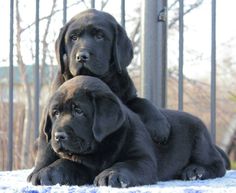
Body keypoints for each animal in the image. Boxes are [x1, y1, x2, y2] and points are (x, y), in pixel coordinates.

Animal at [28, 76, 226, 187]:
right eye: (55, 113)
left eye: (79, 111)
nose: (58, 136)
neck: (101, 148)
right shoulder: (82, 164)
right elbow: (65, 163)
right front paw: (47, 173)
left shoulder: (141, 158)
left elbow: (125, 164)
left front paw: (111, 175)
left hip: (200, 141)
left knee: (217, 164)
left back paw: (195, 171)